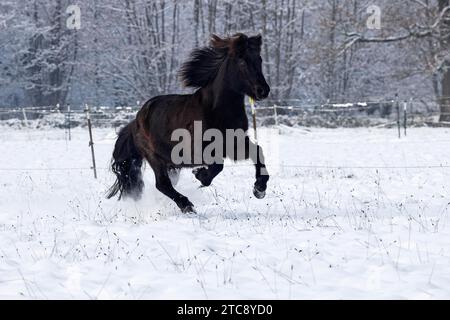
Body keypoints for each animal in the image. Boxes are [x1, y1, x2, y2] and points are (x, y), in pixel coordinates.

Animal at [106, 32, 270, 214]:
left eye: (259, 59)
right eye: (242, 61)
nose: (263, 90)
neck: (217, 111)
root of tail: (136, 121)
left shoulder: (235, 144)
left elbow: (258, 152)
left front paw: (259, 189)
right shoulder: (198, 151)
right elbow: (218, 165)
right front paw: (200, 174)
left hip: (171, 163)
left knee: (168, 183)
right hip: (154, 157)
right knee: (162, 184)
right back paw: (187, 205)